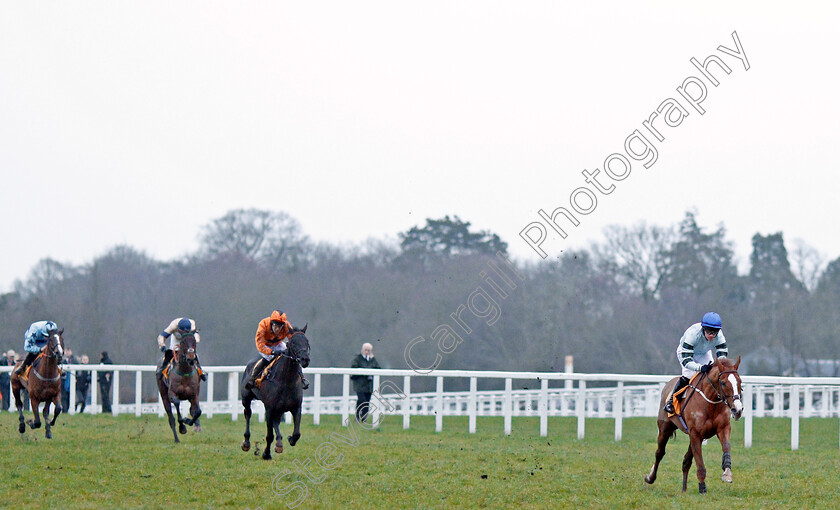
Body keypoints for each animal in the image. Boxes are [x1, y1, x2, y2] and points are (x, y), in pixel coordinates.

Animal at [240, 326, 312, 462]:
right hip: (246, 398)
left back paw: (279, 443)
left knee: (276, 422)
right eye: (293, 343)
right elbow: (269, 435)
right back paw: (246, 442)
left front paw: (289, 439)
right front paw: (266, 454)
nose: (305, 359)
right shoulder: (269, 408)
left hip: (279, 409)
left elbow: (297, 433)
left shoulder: (296, 407)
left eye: (307, 342)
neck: (286, 381)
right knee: (248, 414)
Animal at [648, 354, 744, 494]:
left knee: (686, 461)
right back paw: (650, 478)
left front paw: (727, 473)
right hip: (664, 428)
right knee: (659, 453)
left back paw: (684, 489)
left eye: (740, 382)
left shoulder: (722, 428)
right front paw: (702, 488)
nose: (737, 410)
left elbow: (726, 447)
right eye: (723, 383)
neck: (710, 404)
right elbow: (700, 464)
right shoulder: (695, 434)